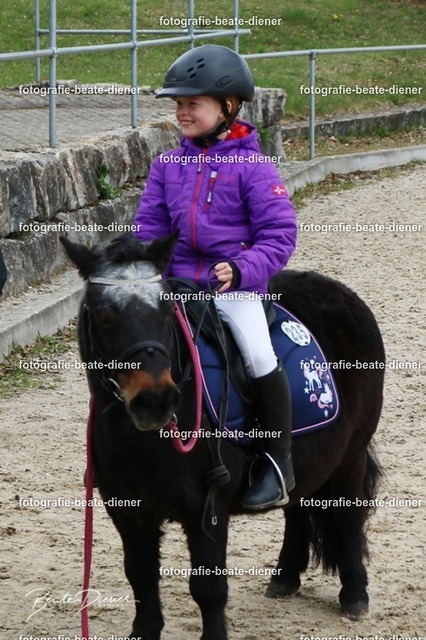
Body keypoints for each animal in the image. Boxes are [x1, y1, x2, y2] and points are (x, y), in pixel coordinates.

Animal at [61, 233, 385, 640]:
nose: (156, 400)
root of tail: (340, 293)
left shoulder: (207, 509)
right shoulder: (129, 512)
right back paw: (285, 577)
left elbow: (209, 587)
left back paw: (354, 594)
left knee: (348, 515)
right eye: (104, 315)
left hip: (351, 455)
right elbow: (141, 577)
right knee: (296, 503)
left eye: (165, 310)